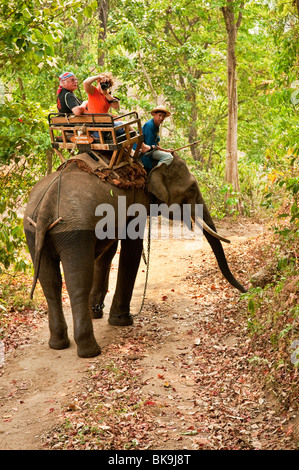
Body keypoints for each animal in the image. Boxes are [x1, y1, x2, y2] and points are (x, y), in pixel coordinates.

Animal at [24, 152, 247, 358]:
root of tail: (45, 207)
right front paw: (123, 320)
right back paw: (90, 351)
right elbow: (132, 247)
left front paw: (97, 312)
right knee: (77, 284)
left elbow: (107, 252)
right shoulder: (137, 199)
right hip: (74, 233)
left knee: (49, 283)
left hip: (33, 232)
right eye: (192, 188)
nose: (246, 290)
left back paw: (58, 344)